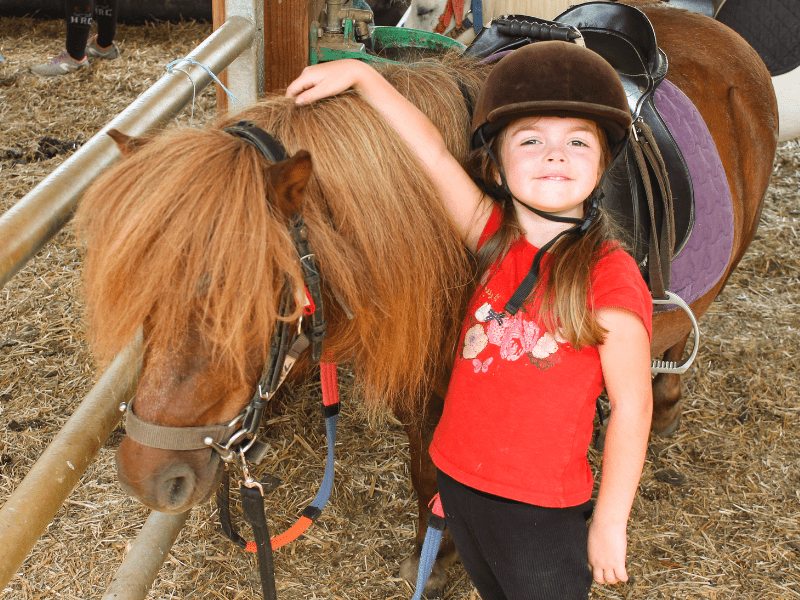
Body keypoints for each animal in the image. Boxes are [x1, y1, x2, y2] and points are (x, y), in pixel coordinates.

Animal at [75, 2, 776, 596]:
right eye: (150, 298)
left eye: (254, 303)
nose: (147, 474)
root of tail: (718, 34)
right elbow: (426, 462)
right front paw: (435, 550)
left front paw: (442, 557)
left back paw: (661, 407)